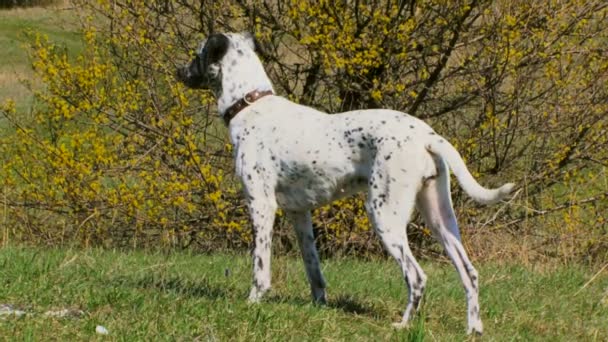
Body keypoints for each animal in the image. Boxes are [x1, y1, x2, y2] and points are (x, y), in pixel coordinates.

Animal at [175, 30, 512, 336]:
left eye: (197, 54)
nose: (178, 71)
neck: (249, 105)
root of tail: (426, 135)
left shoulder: (261, 205)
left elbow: (260, 266)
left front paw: (253, 303)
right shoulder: (300, 214)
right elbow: (314, 270)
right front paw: (319, 306)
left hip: (384, 215)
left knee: (417, 277)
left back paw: (403, 325)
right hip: (440, 219)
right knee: (469, 274)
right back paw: (473, 329)